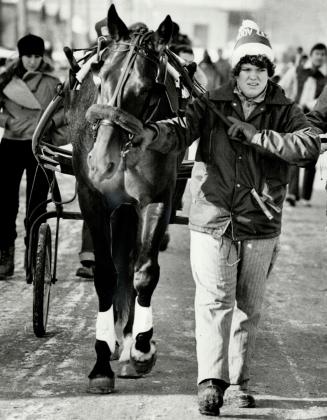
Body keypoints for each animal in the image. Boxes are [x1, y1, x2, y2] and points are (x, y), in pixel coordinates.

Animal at [66, 4, 190, 394]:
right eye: (100, 75)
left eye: (148, 91)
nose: (101, 161)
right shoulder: (93, 198)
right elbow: (106, 274)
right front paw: (101, 361)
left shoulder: (157, 197)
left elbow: (144, 271)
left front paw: (142, 348)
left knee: (132, 262)